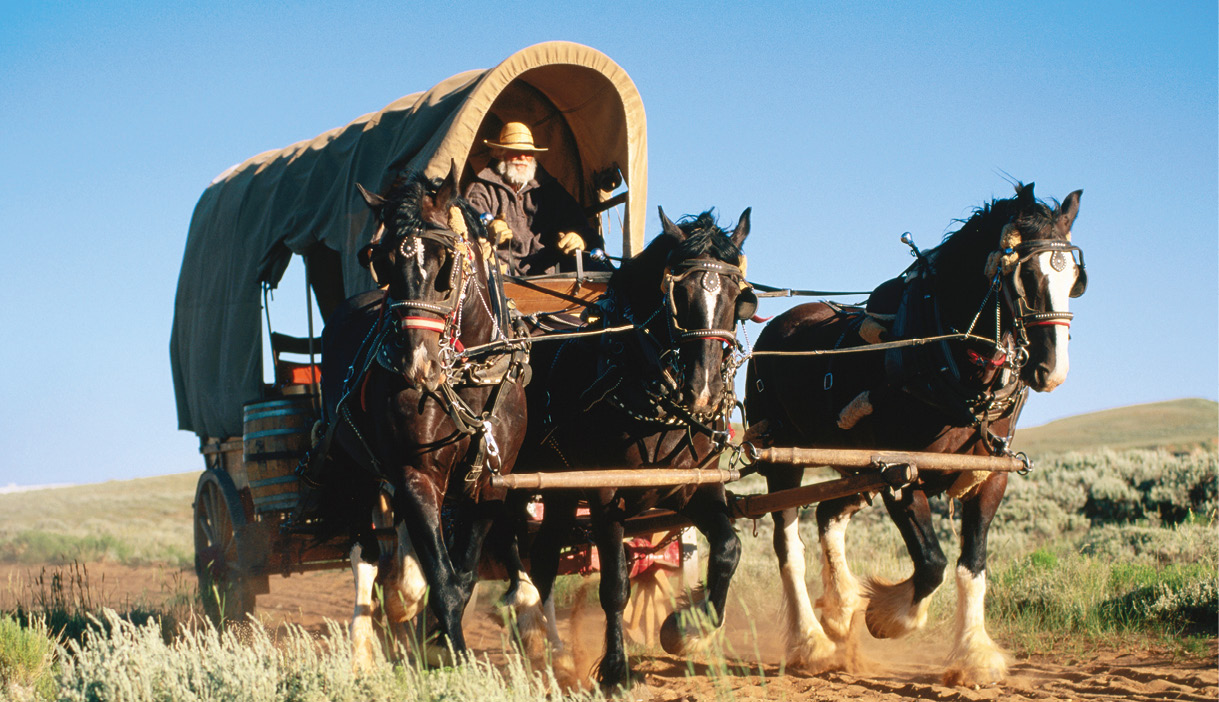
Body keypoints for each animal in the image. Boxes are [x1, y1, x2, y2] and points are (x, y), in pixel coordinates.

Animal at [304, 166, 529, 667]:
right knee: (366, 555)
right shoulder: (416, 474)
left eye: (446, 262)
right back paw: (364, 648)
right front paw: (455, 658)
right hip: (355, 472)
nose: (415, 362)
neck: (468, 374)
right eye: (383, 260)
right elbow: (444, 580)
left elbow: (462, 575)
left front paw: (441, 643)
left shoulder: (490, 483)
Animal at [509, 208, 755, 692]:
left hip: (560, 487)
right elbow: (616, 584)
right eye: (678, 291)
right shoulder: (606, 494)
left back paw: (554, 651)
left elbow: (728, 549)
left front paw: (686, 628)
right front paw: (616, 668)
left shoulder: (697, 487)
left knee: (544, 557)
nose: (703, 390)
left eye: (736, 294)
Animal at [741, 182, 1087, 687]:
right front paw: (887, 616)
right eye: (1024, 275)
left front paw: (974, 655)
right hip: (780, 454)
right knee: (789, 546)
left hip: (852, 464)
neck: (947, 361)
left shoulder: (991, 475)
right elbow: (932, 565)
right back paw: (812, 642)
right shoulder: (900, 473)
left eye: (1075, 278)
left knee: (828, 514)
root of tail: (776, 329)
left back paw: (840, 609)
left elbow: (971, 567)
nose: (1051, 370)